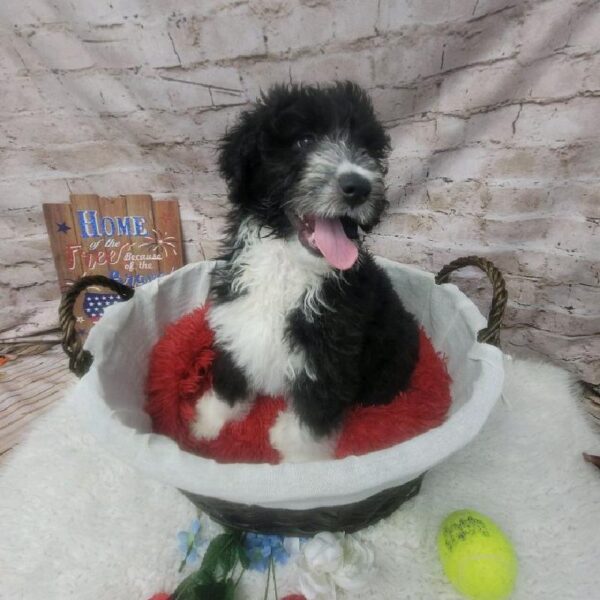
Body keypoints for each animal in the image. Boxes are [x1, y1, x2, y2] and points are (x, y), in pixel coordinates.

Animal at [190, 82, 420, 462]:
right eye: (303, 141)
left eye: (366, 149)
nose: (359, 187)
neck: (287, 262)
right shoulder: (236, 324)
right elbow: (230, 377)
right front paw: (209, 422)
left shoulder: (329, 355)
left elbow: (313, 416)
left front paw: (298, 457)